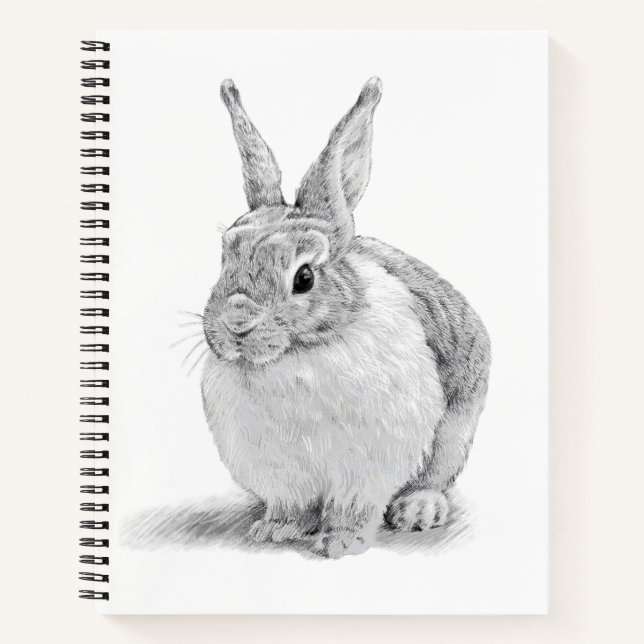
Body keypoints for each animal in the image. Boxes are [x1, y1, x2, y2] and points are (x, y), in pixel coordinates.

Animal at [201, 77, 491, 559]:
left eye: (303, 277)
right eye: (224, 259)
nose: (237, 325)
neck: (298, 355)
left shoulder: (368, 466)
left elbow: (353, 506)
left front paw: (341, 542)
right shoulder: (281, 473)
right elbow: (292, 505)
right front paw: (276, 530)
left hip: (455, 435)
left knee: (436, 477)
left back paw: (418, 510)